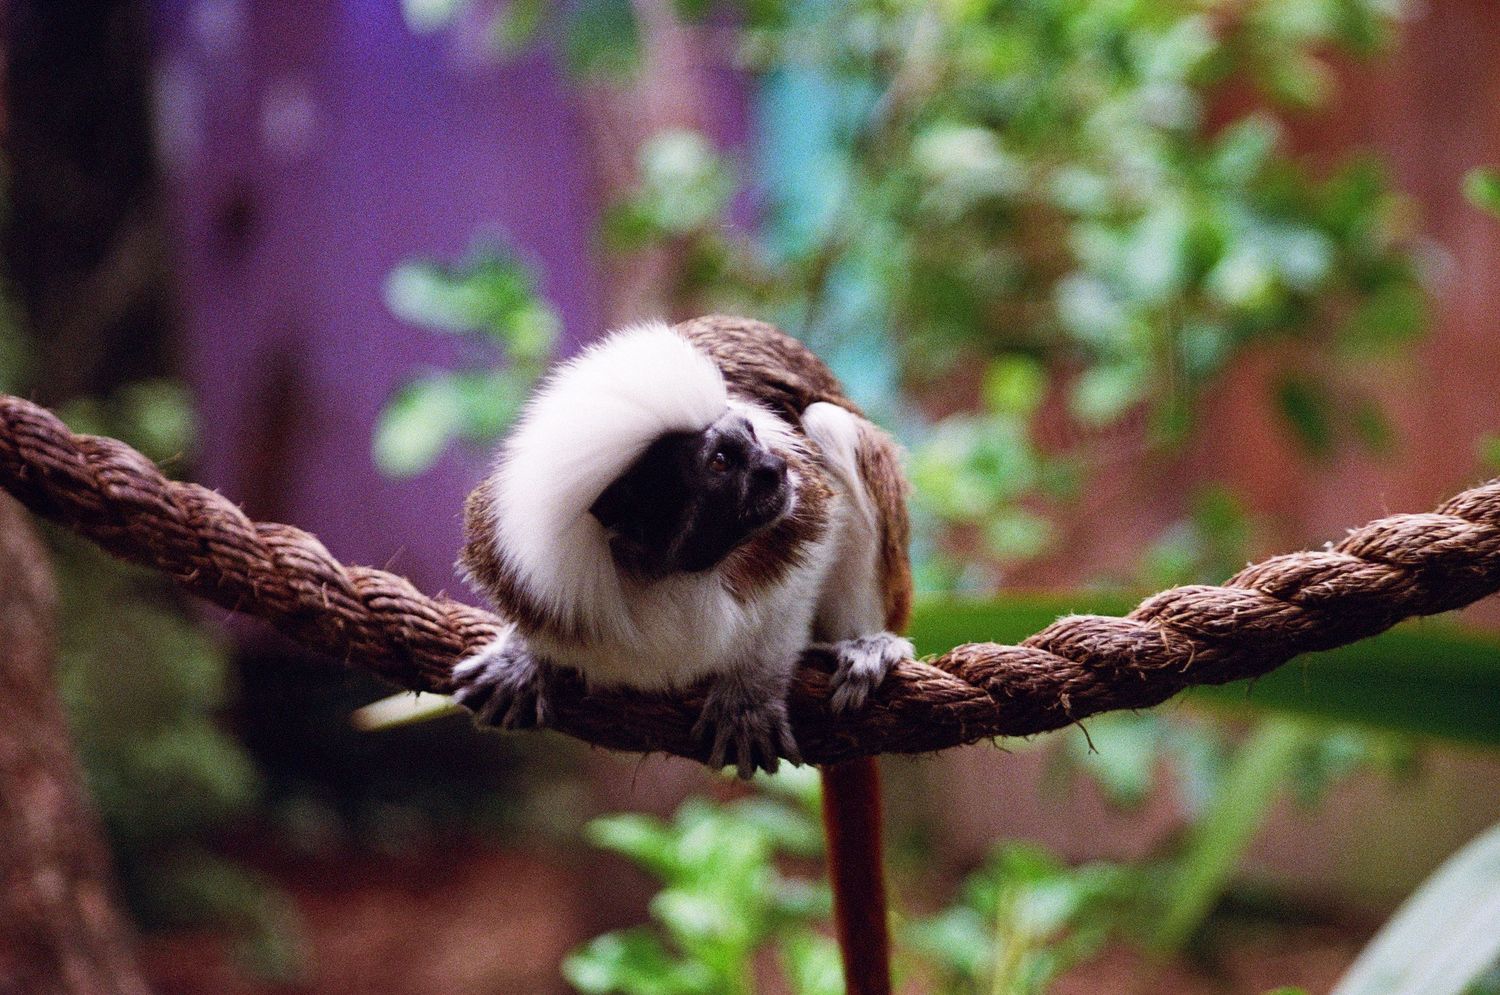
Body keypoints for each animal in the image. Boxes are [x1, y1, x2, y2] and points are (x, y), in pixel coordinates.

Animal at [450, 314, 912, 994]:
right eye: (722, 462)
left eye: (749, 438)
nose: (774, 471)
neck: (653, 570)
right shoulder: (522, 561)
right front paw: (523, 655)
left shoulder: (792, 511)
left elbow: (811, 538)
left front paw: (750, 693)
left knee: (832, 427)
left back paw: (863, 642)